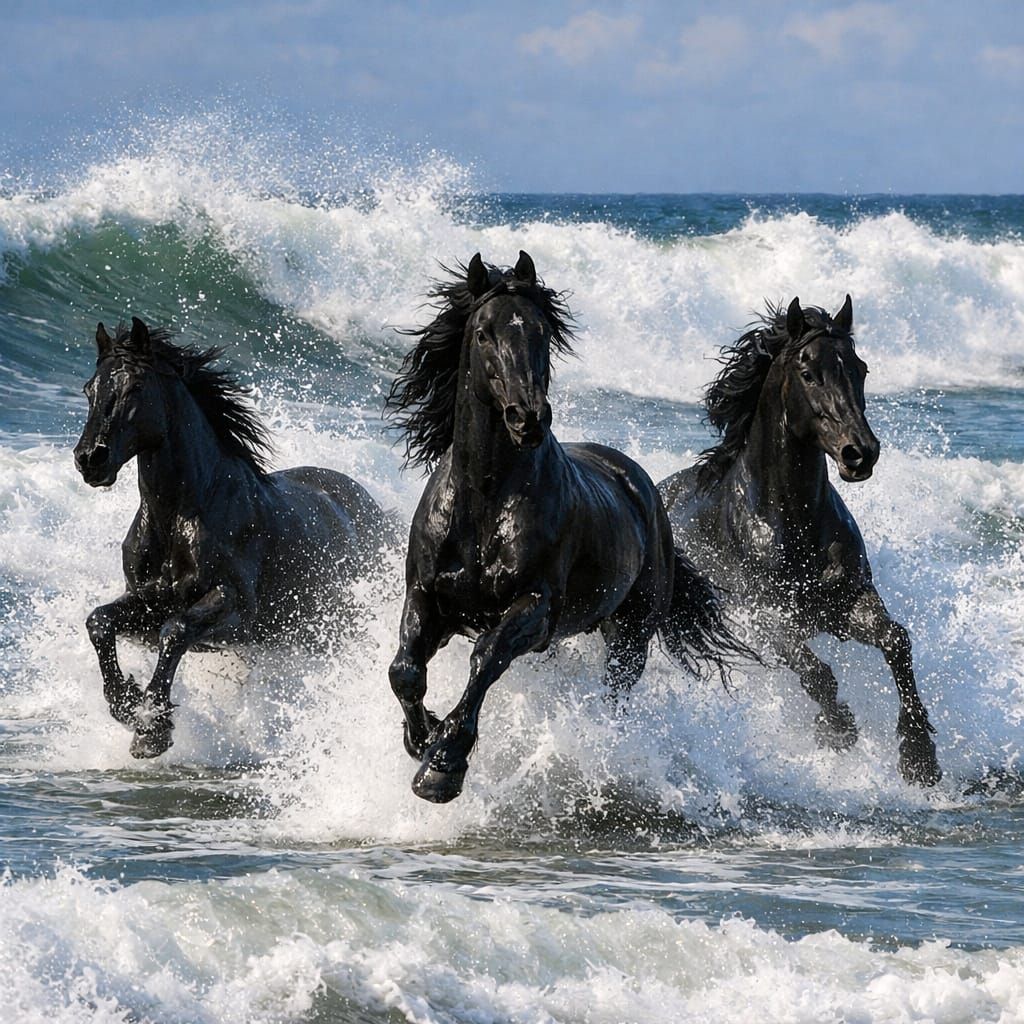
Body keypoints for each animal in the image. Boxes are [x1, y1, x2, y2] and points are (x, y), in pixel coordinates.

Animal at [74, 317, 392, 758]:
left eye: (135, 387)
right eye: (90, 388)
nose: (90, 459)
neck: (180, 515)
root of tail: (374, 510)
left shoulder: (236, 610)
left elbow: (175, 630)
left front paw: (152, 729)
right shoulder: (146, 600)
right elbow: (100, 621)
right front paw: (126, 704)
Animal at [385, 251, 747, 804]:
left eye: (541, 331)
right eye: (484, 333)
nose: (527, 418)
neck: (484, 503)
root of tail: (642, 487)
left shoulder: (535, 608)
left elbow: (486, 658)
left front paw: (444, 763)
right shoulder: (429, 597)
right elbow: (404, 670)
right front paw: (420, 736)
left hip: (629, 635)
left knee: (615, 691)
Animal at [658, 296, 941, 786]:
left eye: (861, 369)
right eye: (809, 374)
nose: (860, 453)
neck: (791, 524)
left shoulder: (847, 603)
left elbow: (897, 642)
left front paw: (919, 756)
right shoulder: (765, 619)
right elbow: (816, 672)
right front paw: (837, 730)